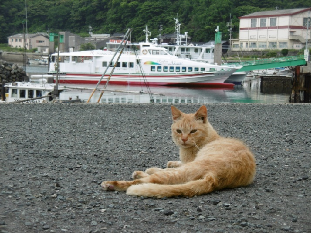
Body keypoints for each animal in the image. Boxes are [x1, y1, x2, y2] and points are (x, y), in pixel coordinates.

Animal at [101, 105, 258, 198]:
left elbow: (164, 168)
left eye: (193, 131)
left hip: (185, 171)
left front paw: (155, 167)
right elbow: (174, 163)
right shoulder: (184, 162)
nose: (183, 139)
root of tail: (214, 178)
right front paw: (172, 161)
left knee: (151, 179)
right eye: (179, 131)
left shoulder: (187, 163)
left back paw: (114, 183)